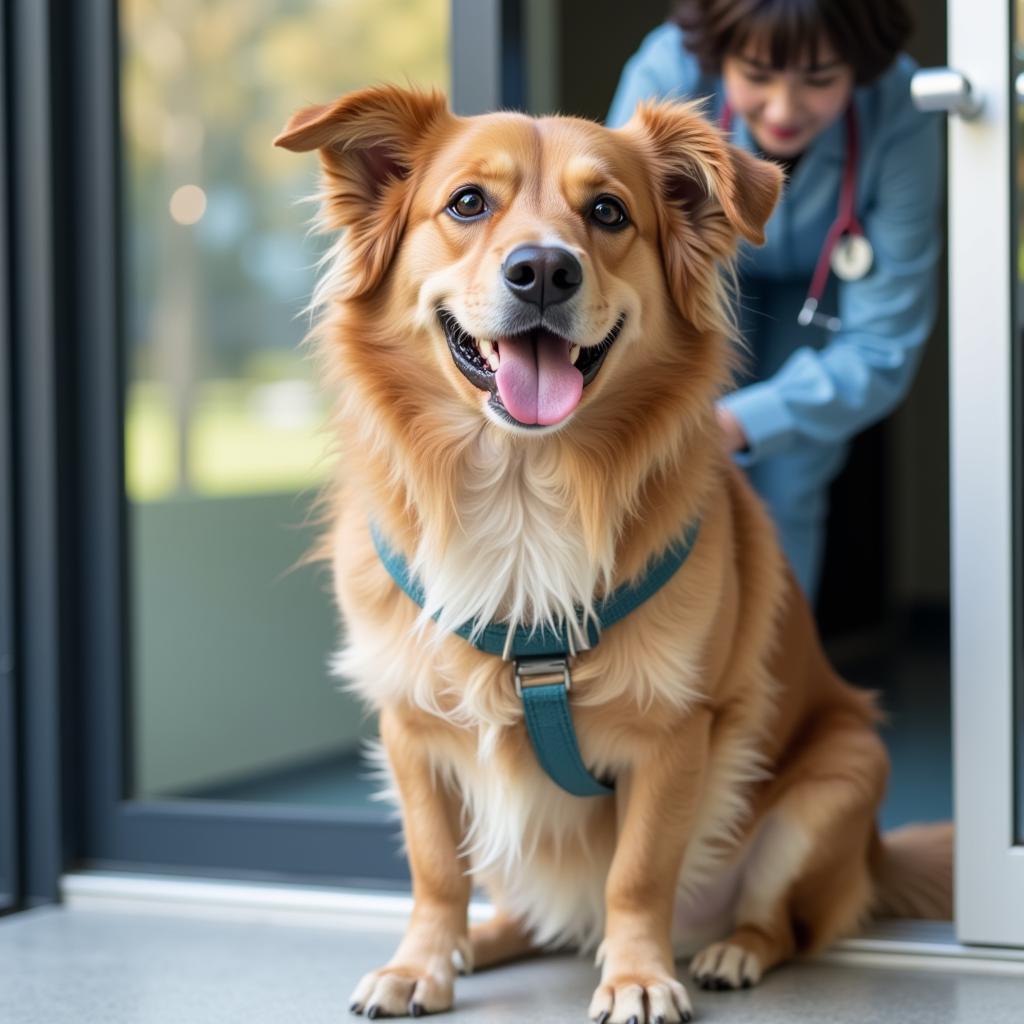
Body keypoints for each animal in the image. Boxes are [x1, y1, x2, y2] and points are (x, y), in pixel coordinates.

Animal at [274, 86, 950, 1024]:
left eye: (607, 213)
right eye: (467, 204)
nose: (544, 271)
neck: (523, 491)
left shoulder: (672, 732)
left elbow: (637, 875)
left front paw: (635, 977)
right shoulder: (410, 724)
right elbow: (437, 868)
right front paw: (423, 962)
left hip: (838, 778)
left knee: (781, 923)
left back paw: (733, 951)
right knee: (531, 916)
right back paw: (480, 944)